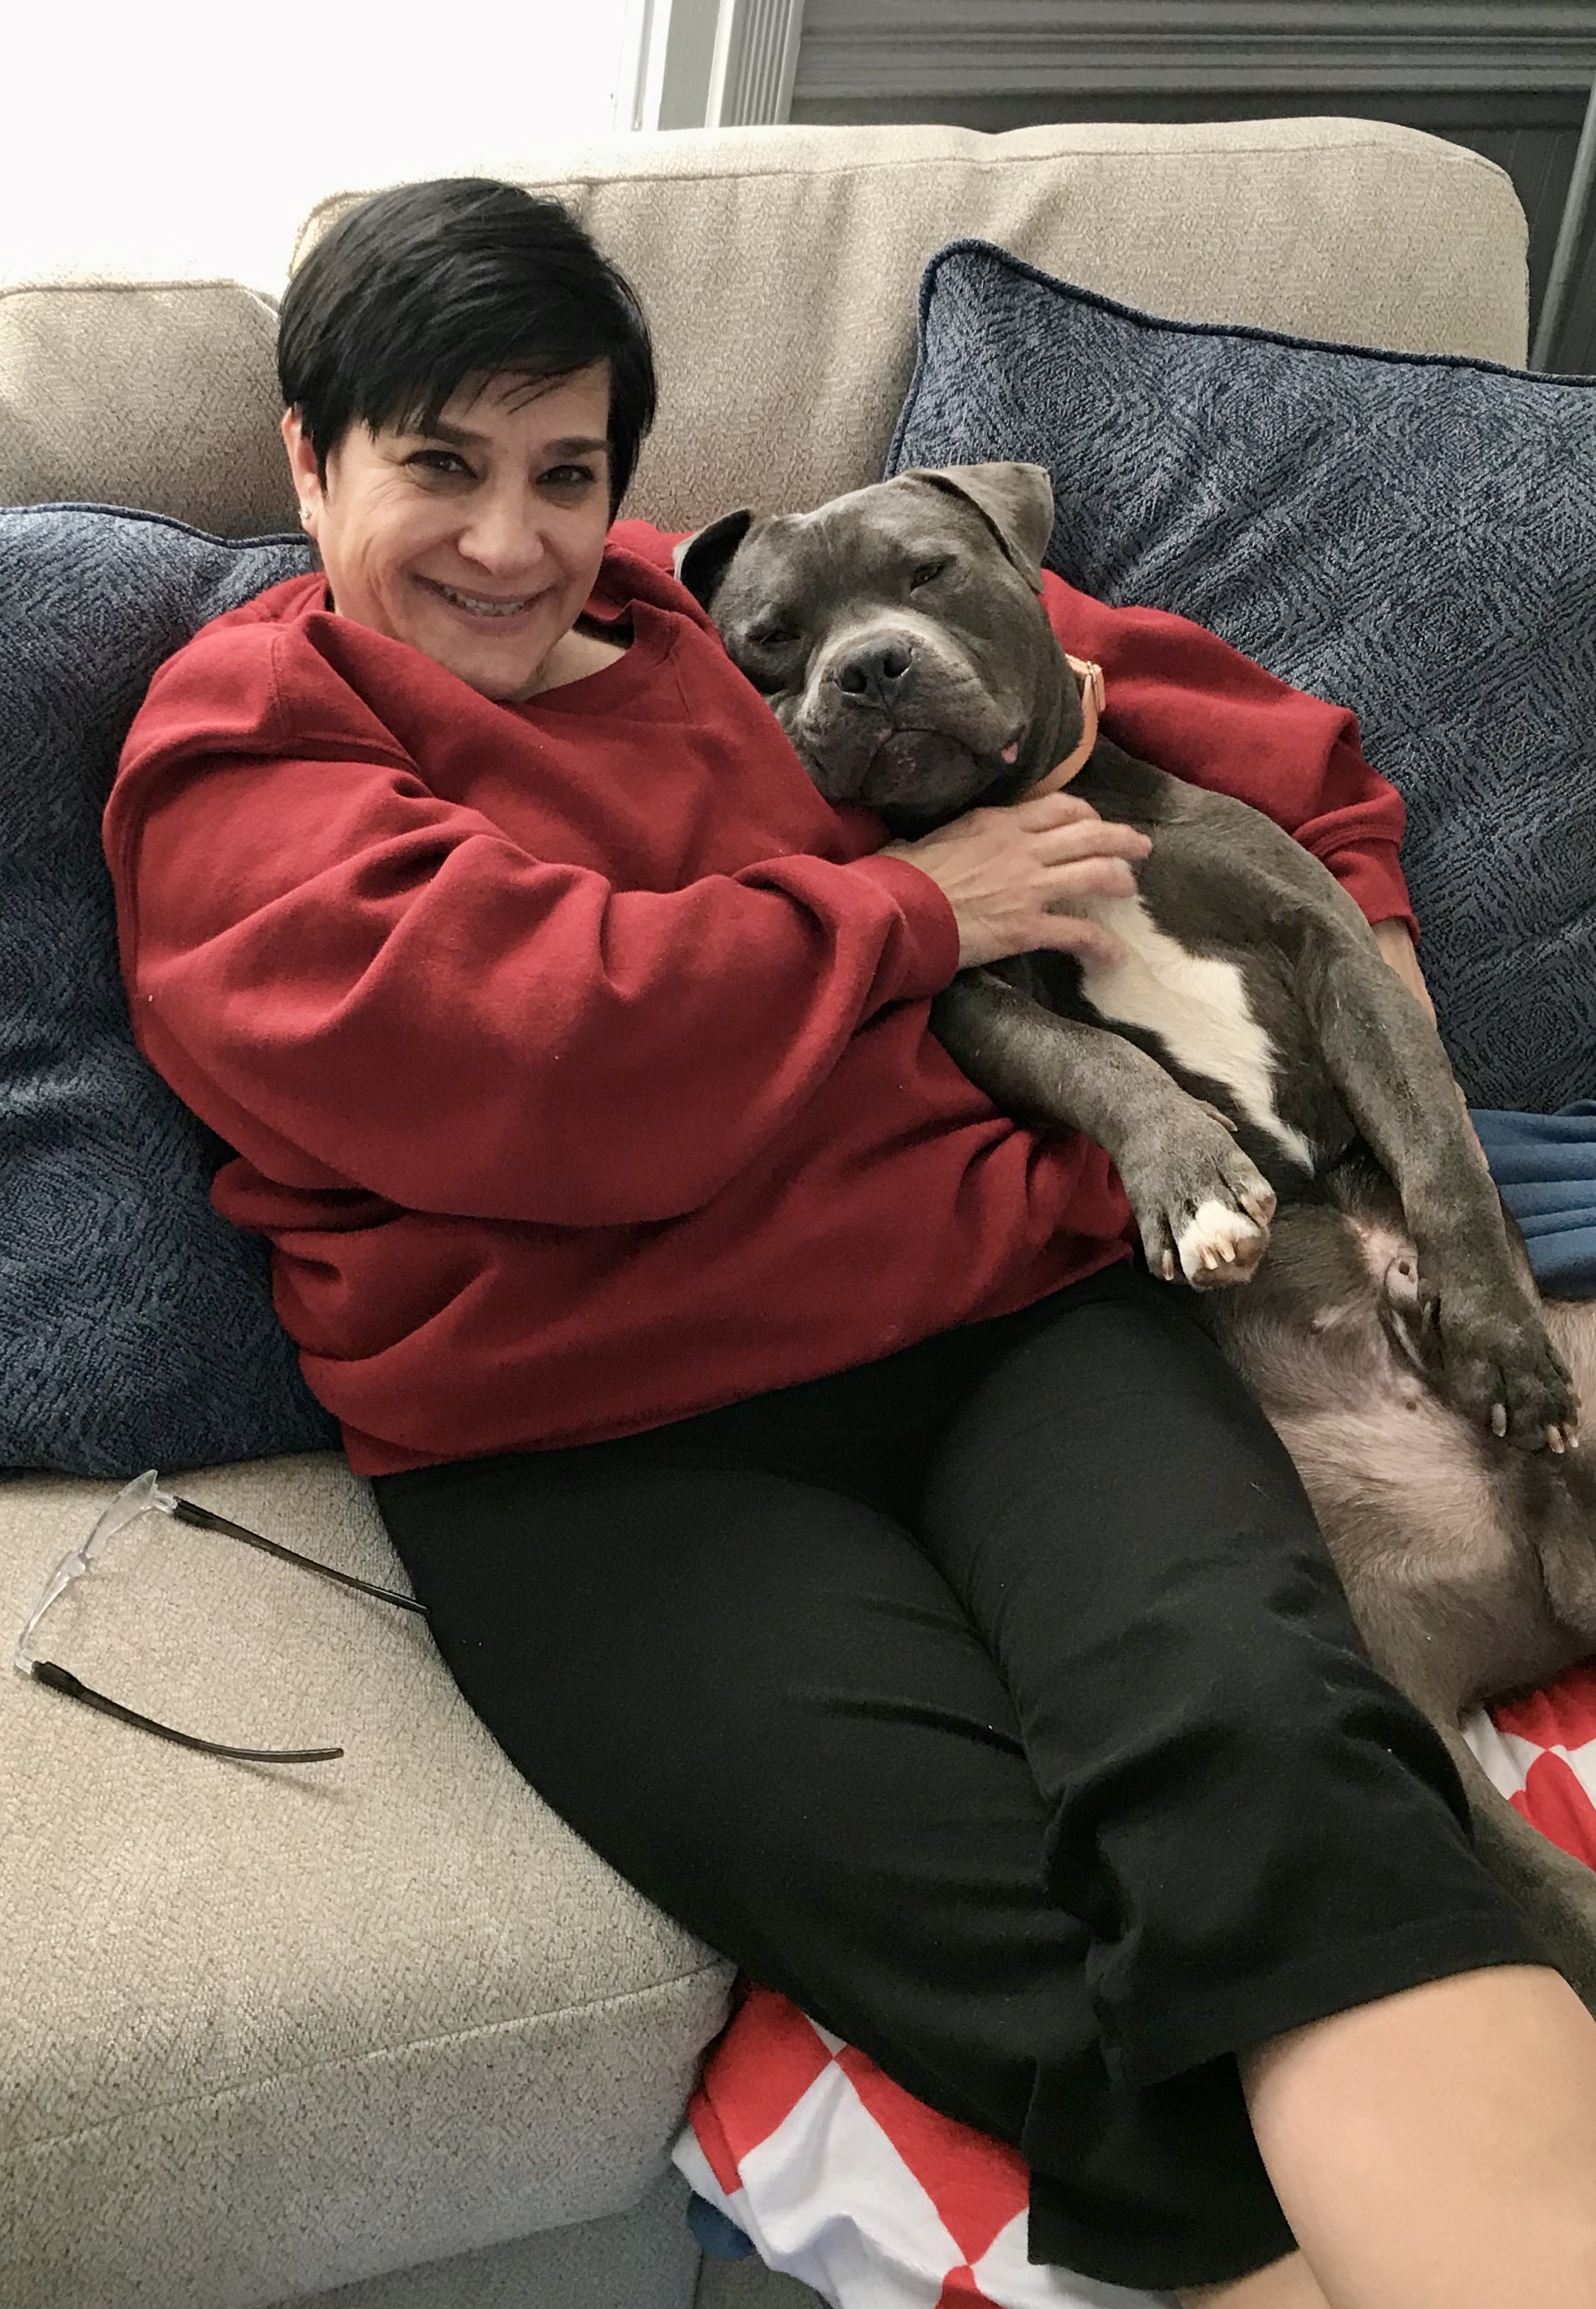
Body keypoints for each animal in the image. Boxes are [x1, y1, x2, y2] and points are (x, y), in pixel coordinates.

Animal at [677, 461, 1596, 2006]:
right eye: (772, 638)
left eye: (926, 574)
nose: (868, 670)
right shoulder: (980, 1000)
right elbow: (1104, 1063)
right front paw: (1192, 1178)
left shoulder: (1336, 952)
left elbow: (1440, 1149)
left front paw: (1494, 1341)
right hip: (1393, 1678)